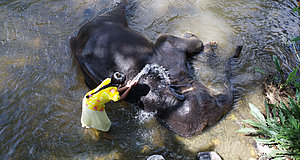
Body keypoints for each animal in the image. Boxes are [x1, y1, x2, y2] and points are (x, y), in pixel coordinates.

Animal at [69, 2, 241, 138]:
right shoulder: (169, 48)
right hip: (108, 19)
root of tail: (75, 38)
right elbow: (184, 41)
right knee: (117, 10)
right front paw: (198, 38)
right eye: (211, 99)